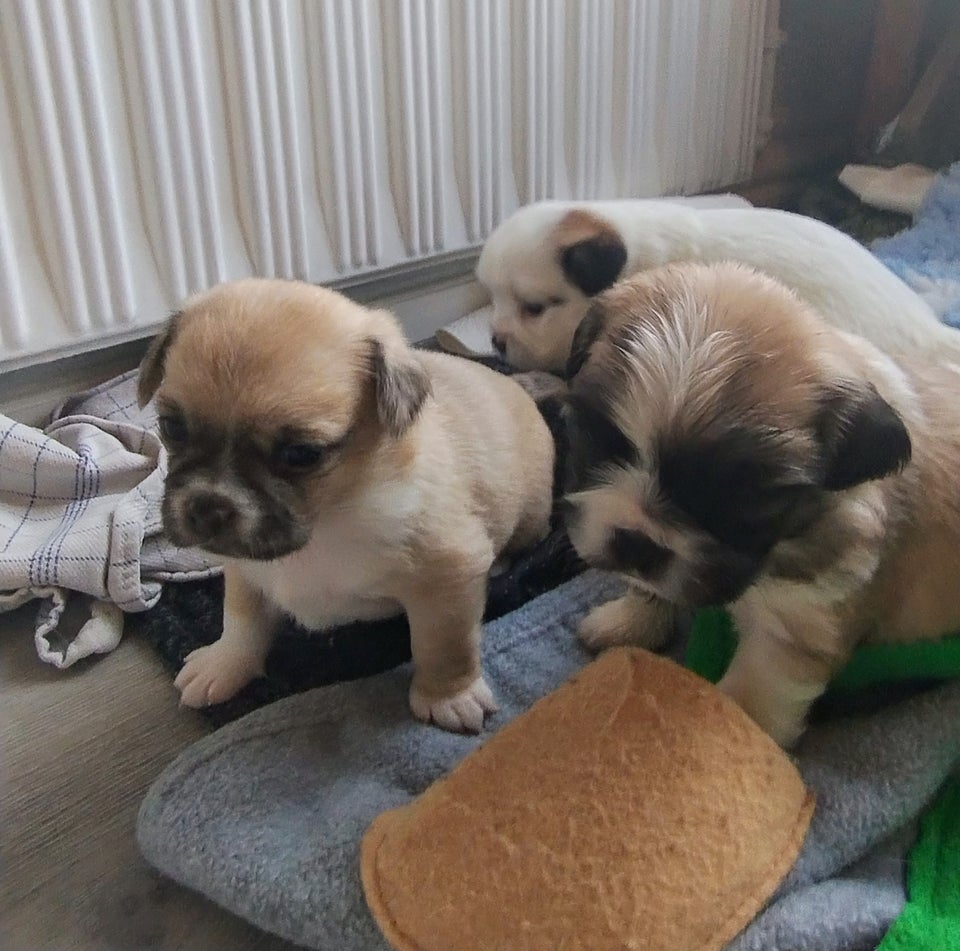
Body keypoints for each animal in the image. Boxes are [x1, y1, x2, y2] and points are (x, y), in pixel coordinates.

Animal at [137, 278, 556, 732]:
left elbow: (444, 646)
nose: (207, 506)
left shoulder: (446, 579)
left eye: (302, 454)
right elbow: (241, 623)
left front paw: (448, 696)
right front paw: (224, 665)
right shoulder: (247, 572)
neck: (326, 520)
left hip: (530, 516)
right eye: (171, 427)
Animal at [564, 264, 960, 748]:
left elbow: (747, 704)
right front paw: (629, 622)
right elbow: (651, 588)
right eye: (605, 444)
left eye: (739, 502)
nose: (638, 542)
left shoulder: (792, 632)